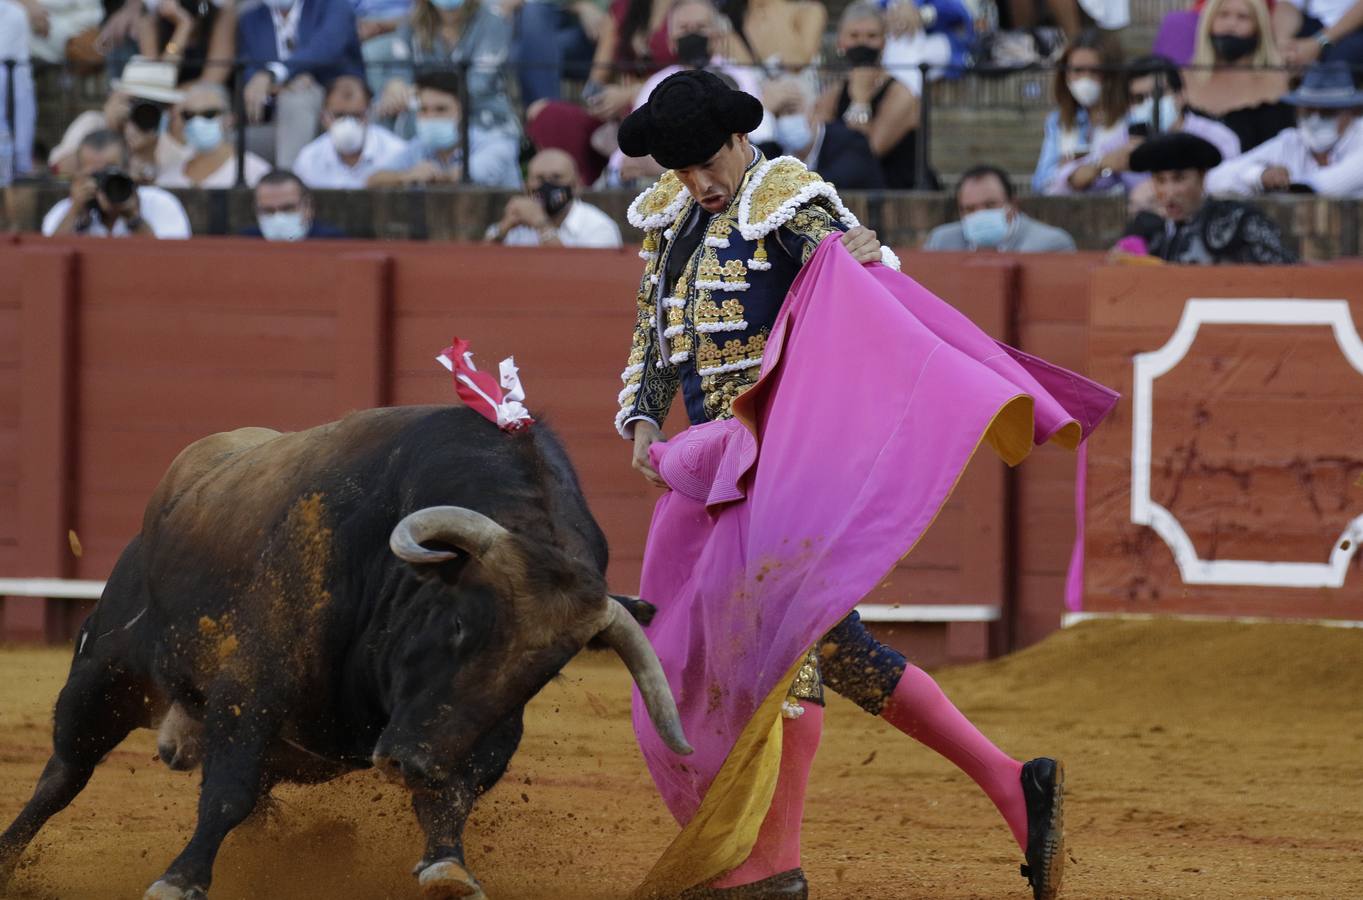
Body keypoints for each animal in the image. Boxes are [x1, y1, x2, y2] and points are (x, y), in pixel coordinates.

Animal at [0, 409, 686, 900]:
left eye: (542, 674)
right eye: (459, 623)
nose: (410, 762)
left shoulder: (481, 733)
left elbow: (452, 798)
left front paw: (447, 870)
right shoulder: (253, 685)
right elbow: (227, 790)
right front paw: (181, 880)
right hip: (102, 678)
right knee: (63, 775)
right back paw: (10, 860)